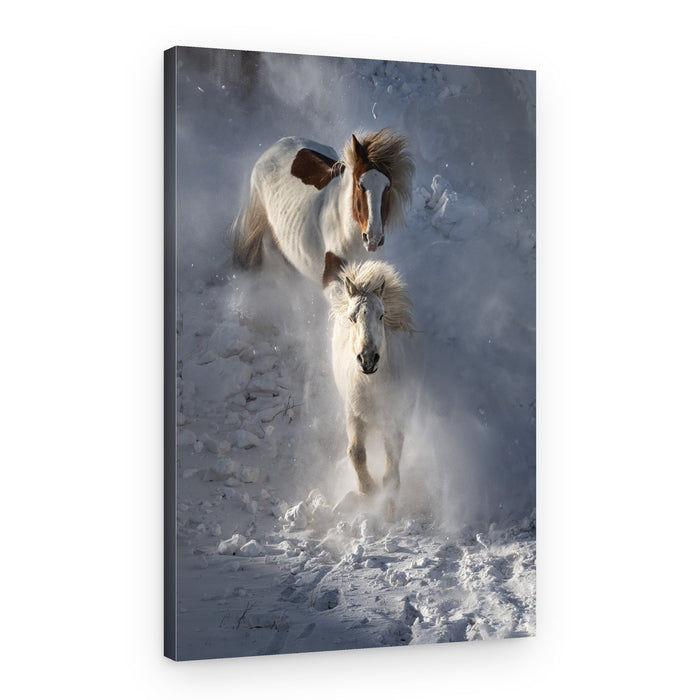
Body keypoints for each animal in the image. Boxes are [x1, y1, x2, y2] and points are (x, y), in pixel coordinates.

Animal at [229, 129, 414, 284]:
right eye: (360, 185)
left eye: (388, 187)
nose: (373, 238)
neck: (346, 232)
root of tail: (278, 143)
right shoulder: (333, 277)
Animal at [323, 251, 417, 520]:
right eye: (352, 317)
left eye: (381, 315)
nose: (368, 359)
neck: (373, 385)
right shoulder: (354, 415)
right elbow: (356, 452)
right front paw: (369, 490)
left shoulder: (394, 420)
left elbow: (392, 462)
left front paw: (389, 508)